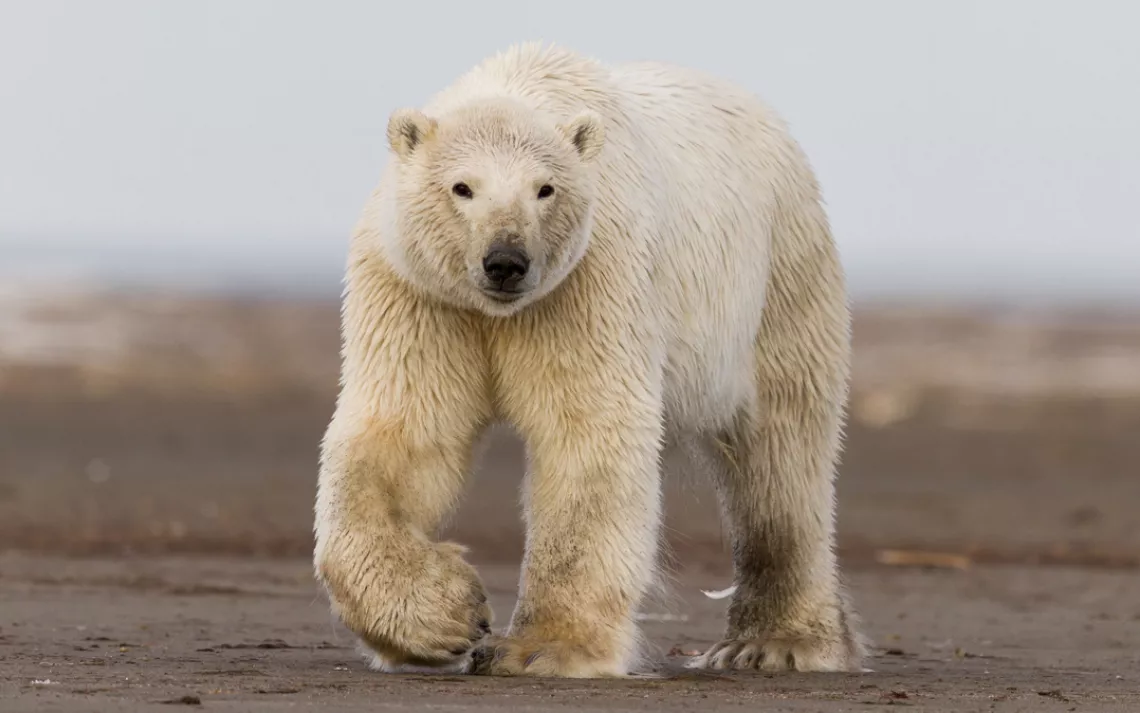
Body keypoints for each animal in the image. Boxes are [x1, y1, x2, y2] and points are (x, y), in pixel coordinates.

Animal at [312, 43, 861, 679]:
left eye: (545, 189)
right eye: (462, 187)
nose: (506, 261)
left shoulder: (586, 280)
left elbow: (587, 431)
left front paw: (541, 648)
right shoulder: (422, 292)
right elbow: (404, 432)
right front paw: (448, 615)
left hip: (778, 273)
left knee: (782, 453)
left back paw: (777, 642)